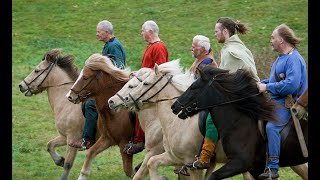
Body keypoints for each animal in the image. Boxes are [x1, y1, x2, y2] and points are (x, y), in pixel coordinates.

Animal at [17, 48, 84, 180]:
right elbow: (50, 145)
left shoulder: (73, 139)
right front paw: (59, 160)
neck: (68, 103)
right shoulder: (64, 137)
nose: (21, 85)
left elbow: (68, 165)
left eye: (36, 70)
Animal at [107, 59, 255, 179]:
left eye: (144, 84)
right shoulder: (174, 157)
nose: (111, 101)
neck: (176, 122)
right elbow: (151, 164)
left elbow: (141, 171)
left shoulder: (189, 164)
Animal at [170, 65, 308, 179]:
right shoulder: (255, 168)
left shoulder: (239, 163)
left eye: (193, 87)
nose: (174, 106)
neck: (238, 123)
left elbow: (212, 176)